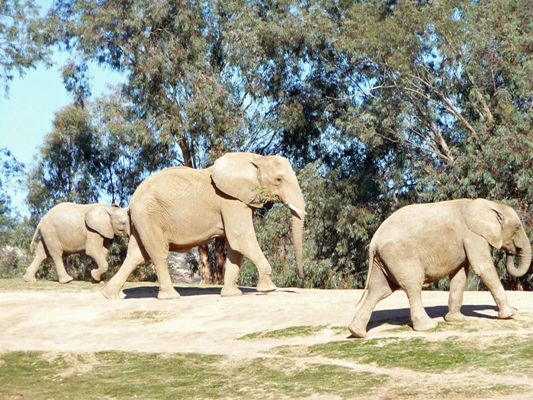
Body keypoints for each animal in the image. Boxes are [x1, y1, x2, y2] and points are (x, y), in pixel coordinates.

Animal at [102, 153, 306, 300]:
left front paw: (232, 295)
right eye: (278, 180)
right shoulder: (232, 200)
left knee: (136, 255)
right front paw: (268, 289)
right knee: (157, 253)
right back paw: (171, 297)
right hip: (149, 216)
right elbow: (241, 238)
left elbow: (235, 246)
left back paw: (111, 295)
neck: (257, 159)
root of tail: (131, 202)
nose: (301, 277)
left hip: (142, 219)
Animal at [350, 198, 528, 338]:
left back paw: (356, 332)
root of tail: (374, 241)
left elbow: (460, 276)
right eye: (517, 228)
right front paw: (510, 314)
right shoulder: (472, 235)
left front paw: (456, 319)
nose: (512, 251)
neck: (489, 204)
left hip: (384, 260)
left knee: (379, 290)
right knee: (412, 286)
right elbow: (482, 268)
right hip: (400, 255)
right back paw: (428, 327)